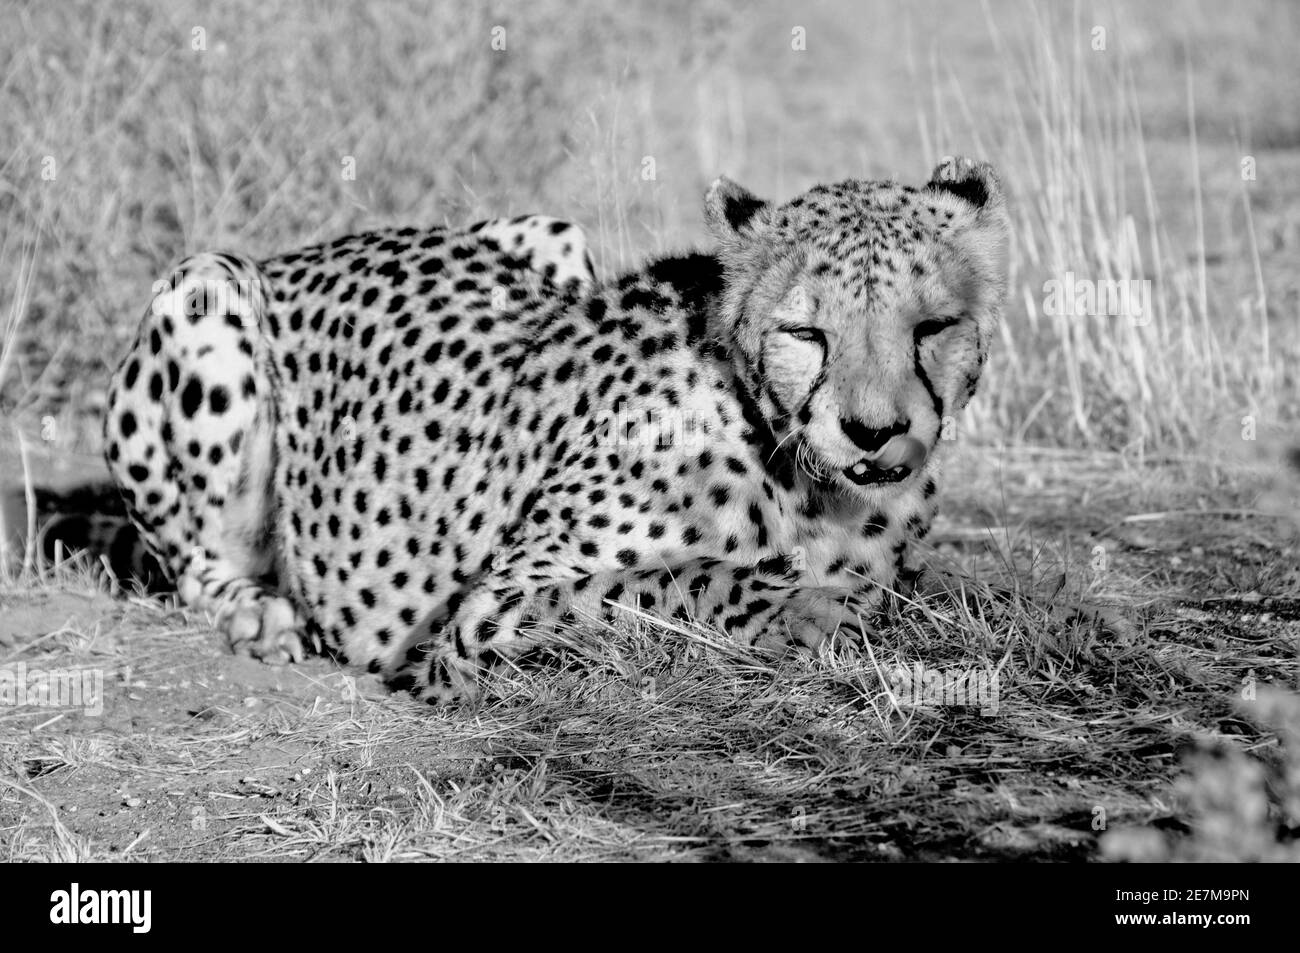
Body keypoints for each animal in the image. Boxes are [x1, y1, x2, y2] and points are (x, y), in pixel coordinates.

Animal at [106, 157, 1008, 707]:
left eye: (931, 327)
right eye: (806, 334)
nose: (873, 432)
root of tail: (312, 248)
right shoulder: (487, 612)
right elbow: (661, 580)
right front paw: (809, 608)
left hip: (552, 230)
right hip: (206, 286)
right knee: (196, 564)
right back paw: (257, 615)